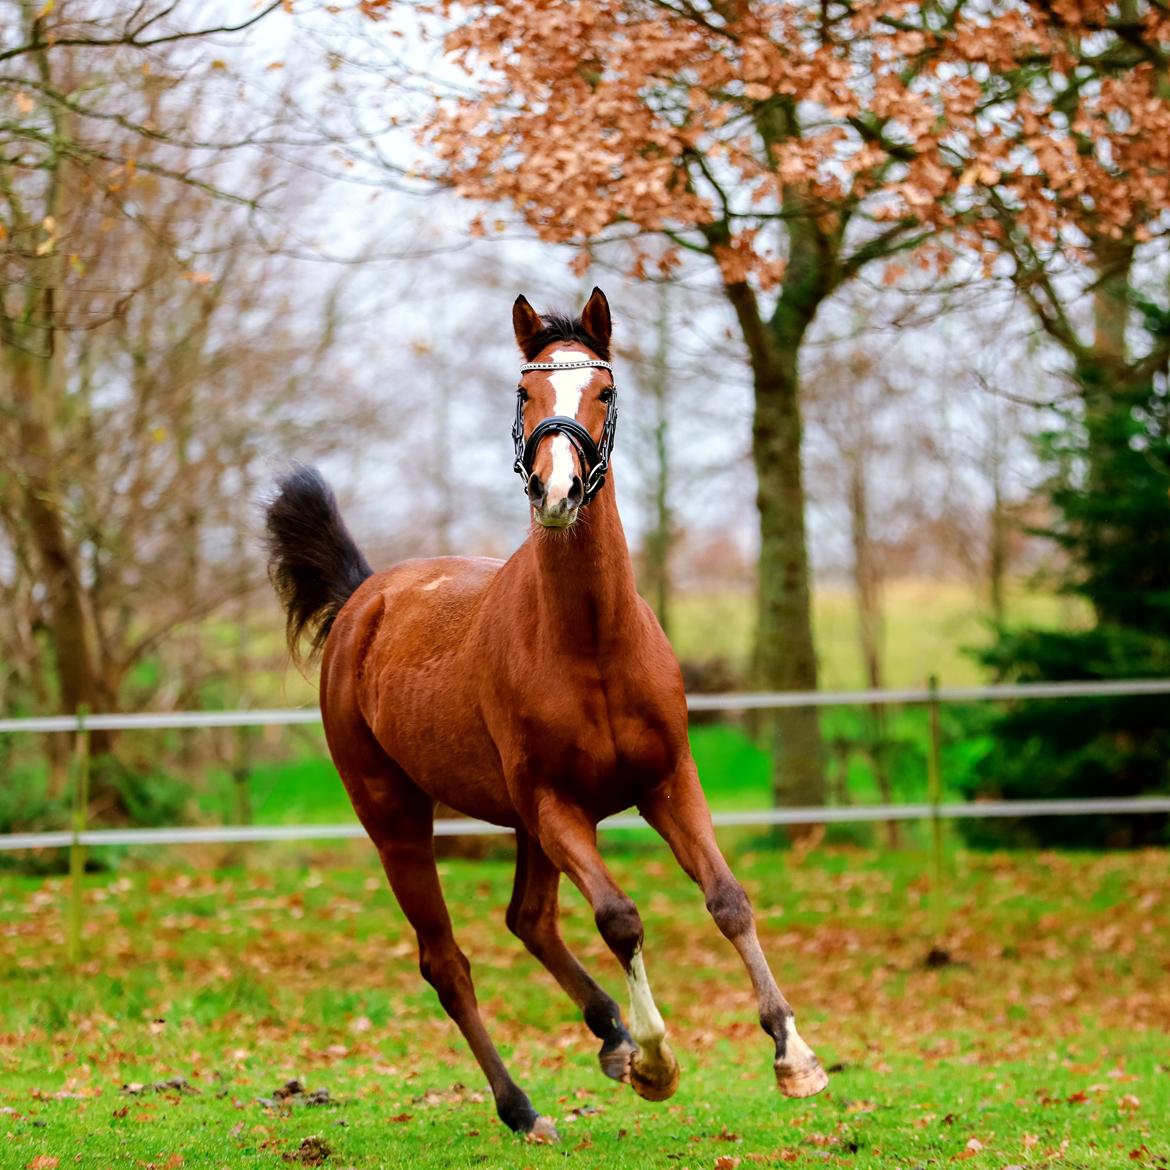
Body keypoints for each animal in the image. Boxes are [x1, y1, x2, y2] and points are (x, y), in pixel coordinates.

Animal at [267, 287, 833, 1137]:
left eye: (603, 391)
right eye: (523, 394)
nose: (556, 492)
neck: (590, 641)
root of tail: (363, 598)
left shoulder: (667, 782)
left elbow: (728, 899)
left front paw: (793, 1057)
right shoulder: (558, 806)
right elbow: (621, 918)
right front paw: (658, 1063)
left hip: (521, 825)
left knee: (527, 919)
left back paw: (609, 1035)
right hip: (400, 820)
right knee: (448, 962)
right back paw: (524, 1105)